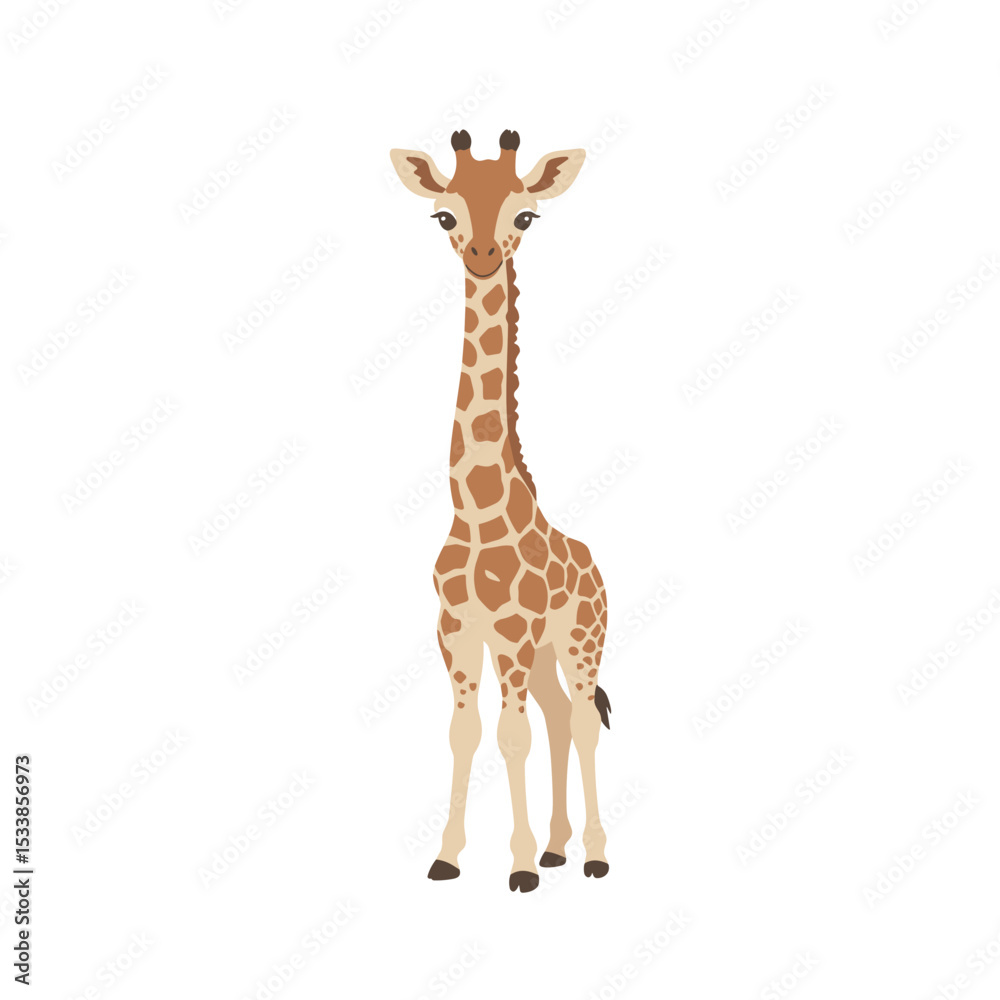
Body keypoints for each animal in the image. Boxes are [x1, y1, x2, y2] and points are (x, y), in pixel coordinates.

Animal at [390, 130, 612, 892]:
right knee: (557, 718)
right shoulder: (456, 630)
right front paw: (447, 858)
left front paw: (516, 868)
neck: (478, 510)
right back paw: (557, 848)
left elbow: (511, 735)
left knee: (579, 720)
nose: (484, 254)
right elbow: (466, 732)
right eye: (445, 216)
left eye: (525, 215)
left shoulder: (512, 630)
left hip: (578, 640)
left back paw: (592, 856)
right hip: (543, 653)